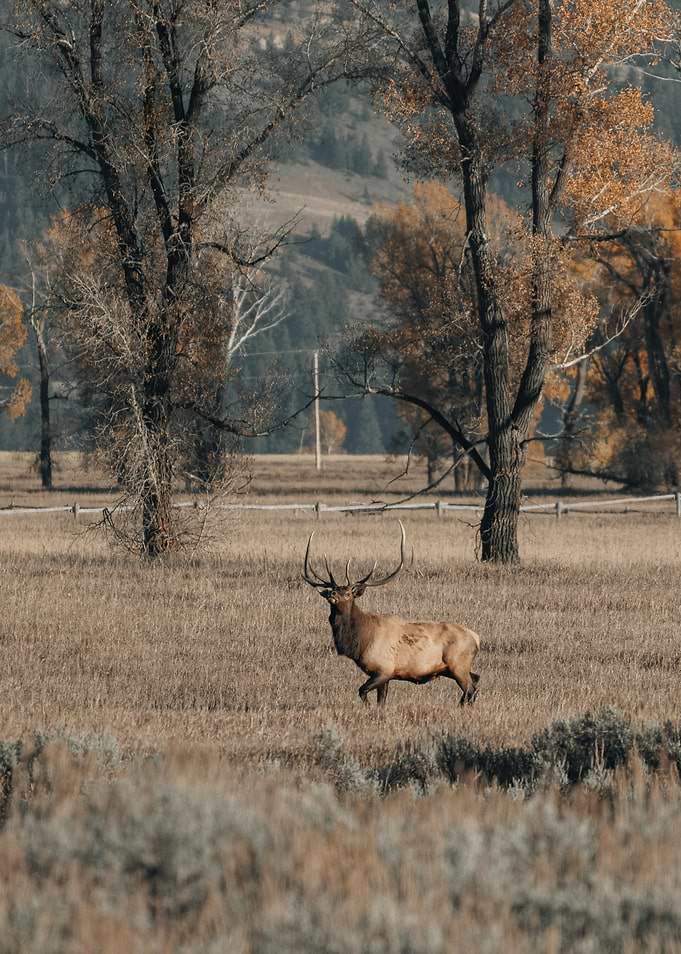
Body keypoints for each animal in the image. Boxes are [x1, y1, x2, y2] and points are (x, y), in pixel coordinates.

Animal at [302, 521, 480, 707]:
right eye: (334, 589)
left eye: (348, 593)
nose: (332, 594)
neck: (361, 640)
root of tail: (476, 638)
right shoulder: (385, 676)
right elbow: (381, 701)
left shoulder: (384, 669)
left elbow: (362, 691)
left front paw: (367, 707)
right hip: (453, 668)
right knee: (476, 679)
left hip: (458, 664)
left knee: (471, 689)